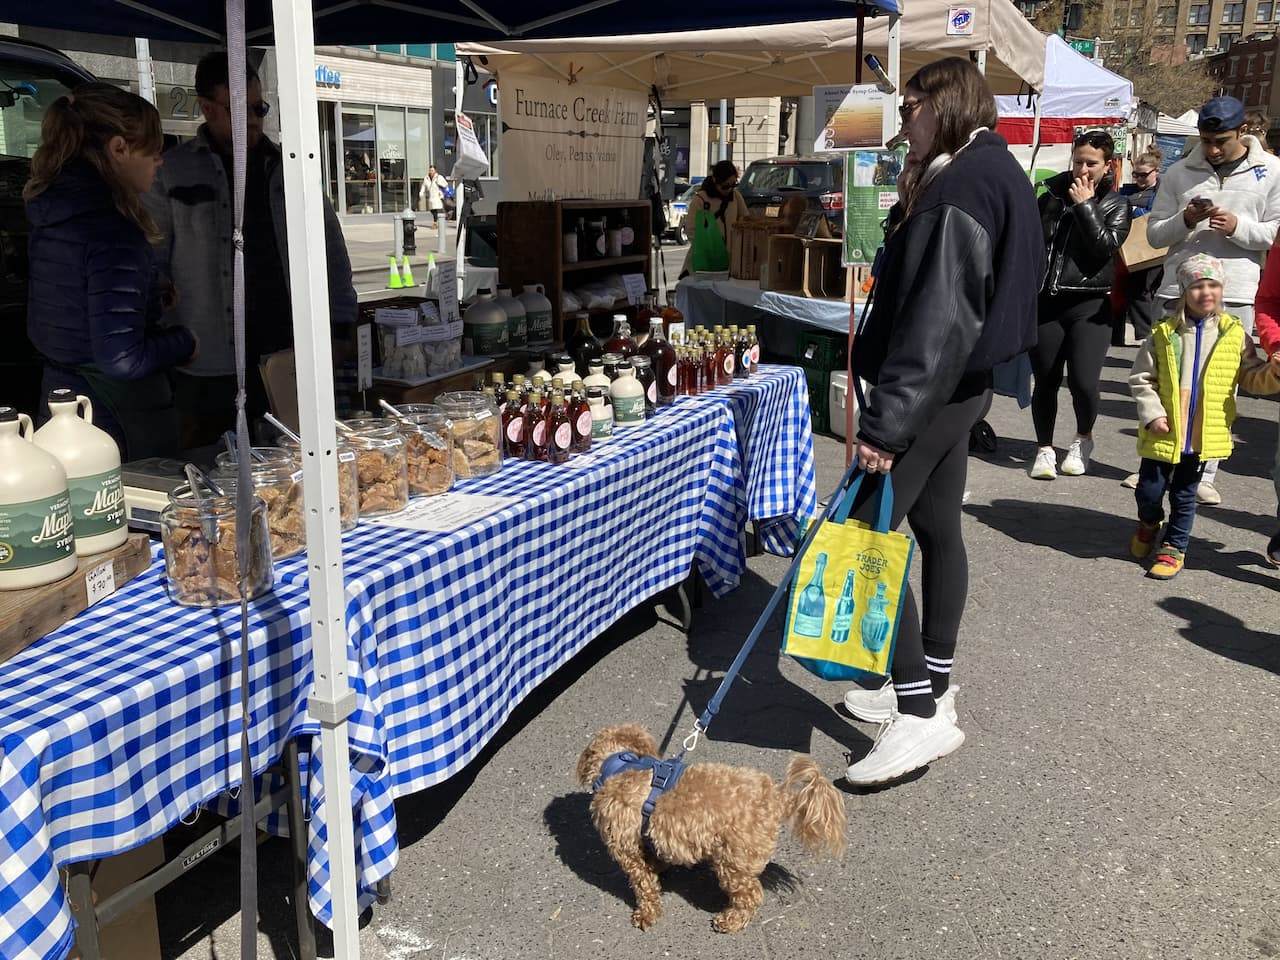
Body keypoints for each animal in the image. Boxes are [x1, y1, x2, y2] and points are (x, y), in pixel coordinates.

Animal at [576, 727, 844, 936]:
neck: (621, 766)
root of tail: (777, 798)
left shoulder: (626, 851)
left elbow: (644, 885)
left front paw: (646, 914)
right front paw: (659, 867)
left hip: (733, 861)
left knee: (751, 895)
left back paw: (730, 921)